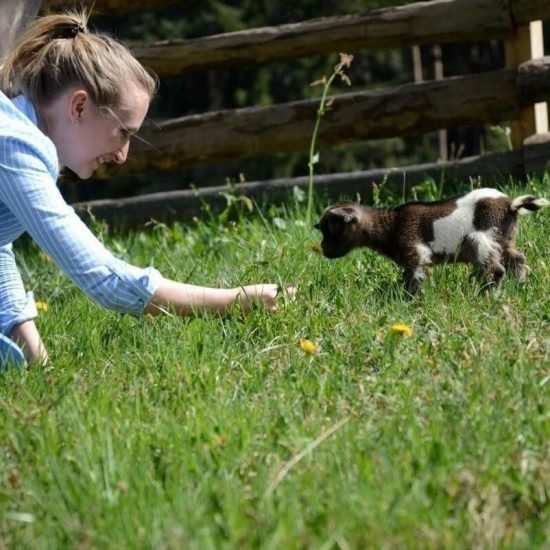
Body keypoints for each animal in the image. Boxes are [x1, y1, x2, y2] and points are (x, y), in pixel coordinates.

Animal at [316, 188, 548, 296]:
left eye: (331, 230)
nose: (323, 248)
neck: (391, 225)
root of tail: (510, 204)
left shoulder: (415, 250)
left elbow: (414, 278)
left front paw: (411, 300)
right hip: (504, 240)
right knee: (518, 259)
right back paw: (520, 285)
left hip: (481, 237)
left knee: (496, 268)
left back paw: (488, 295)